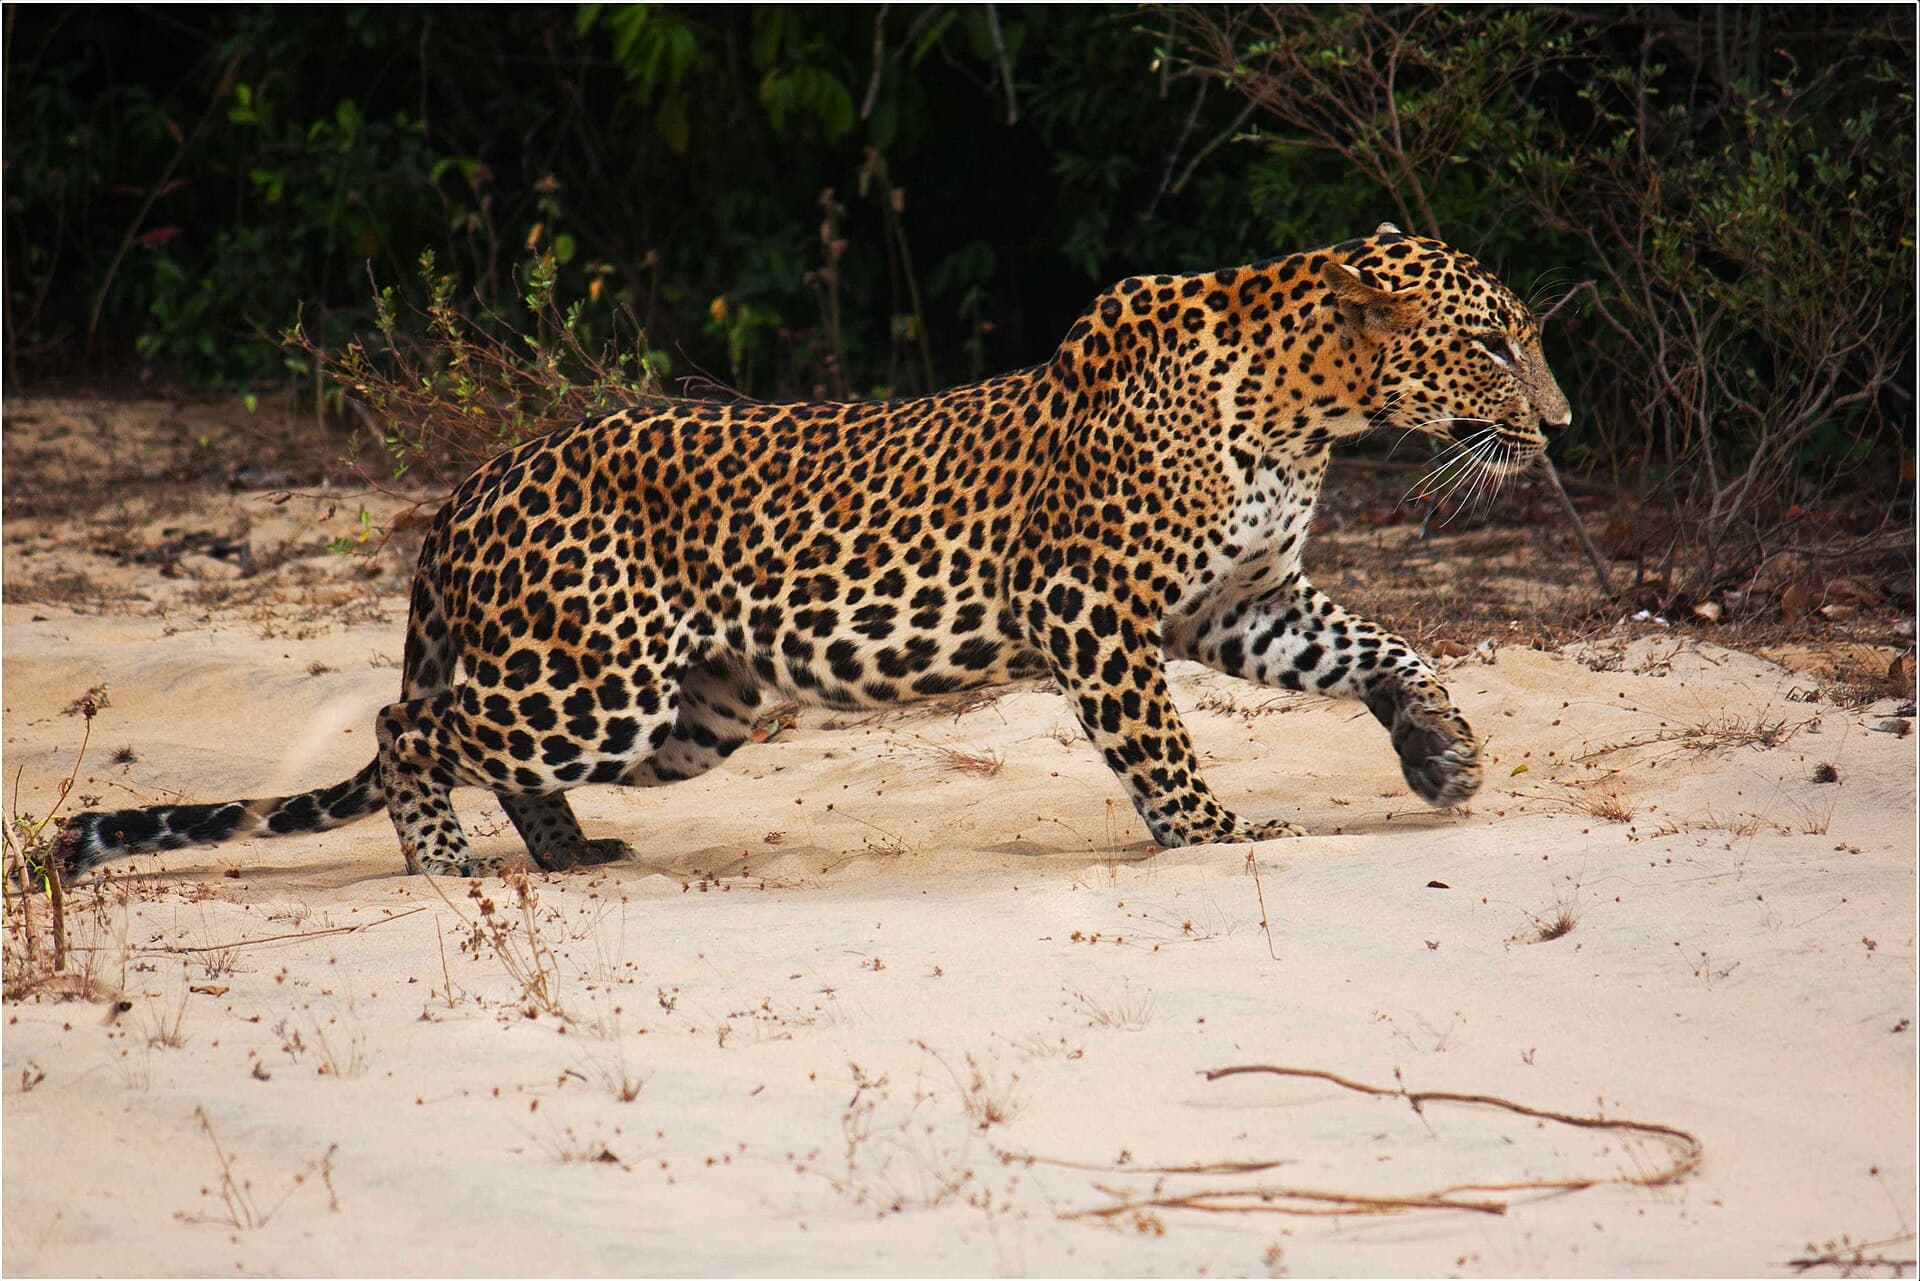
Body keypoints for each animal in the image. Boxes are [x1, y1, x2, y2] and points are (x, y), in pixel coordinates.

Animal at [56, 224, 1571, 879]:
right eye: (1495, 342)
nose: (1559, 426)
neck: (1310, 409)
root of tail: (471, 491)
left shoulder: (1240, 603)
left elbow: (1387, 647)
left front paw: (1442, 753)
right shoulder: (1092, 609)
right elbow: (1162, 747)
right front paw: (1210, 833)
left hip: (692, 713)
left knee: (474, 744)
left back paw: (571, 854)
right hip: (593, 683)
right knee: (411, 723)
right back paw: (450, 864)